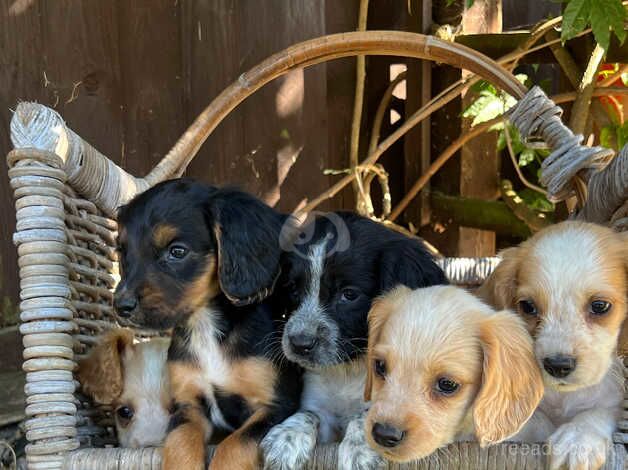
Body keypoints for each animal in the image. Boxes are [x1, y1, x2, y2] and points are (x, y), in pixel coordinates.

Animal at [114, 180, 302, 470]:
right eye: (121, 251)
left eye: (177, 251)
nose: (121, 307)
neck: (205, 327)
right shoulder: (189, 404)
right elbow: (179, 440)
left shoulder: (275, 406)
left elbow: (234, 445)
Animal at [260, 213, 446, 470]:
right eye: (293, 290)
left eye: (349, 294)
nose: (299, 343)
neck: (348, 369)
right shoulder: (320, 407)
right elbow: (309, 414)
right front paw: (285, 439)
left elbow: (367, 415)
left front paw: (360, 452)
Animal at [478, 222, 624, 470]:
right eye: (528, 306)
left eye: (600, 306)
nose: (557, 366)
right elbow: (532, 419)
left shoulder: (613, 400)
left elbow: (598, 412)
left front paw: (578, 439)